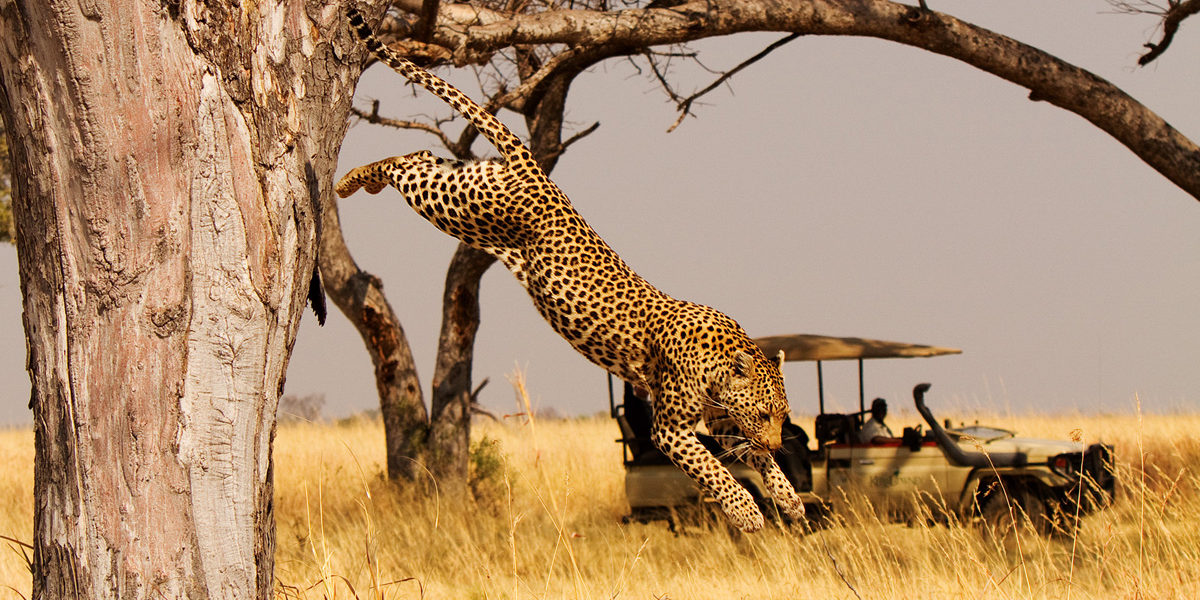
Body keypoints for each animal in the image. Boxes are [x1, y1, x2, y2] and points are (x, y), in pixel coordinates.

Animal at [338, 5, 806, 530]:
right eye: (765, 413)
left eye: (782, 414)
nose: (778, 440)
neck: (720, 363)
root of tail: (535, 169)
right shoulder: (671, 429)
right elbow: (715, 471)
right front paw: (746, 512)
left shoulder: (721, 418)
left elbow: (749, 458)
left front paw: (787, 496)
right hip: (460, 206)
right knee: (405, 166)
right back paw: (348, 181)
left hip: (464, 188)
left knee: (418, 155)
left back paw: (357, 179)